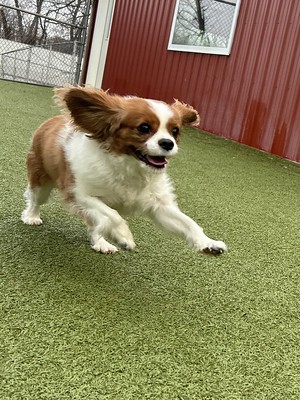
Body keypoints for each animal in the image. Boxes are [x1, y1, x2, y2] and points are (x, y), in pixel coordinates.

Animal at [21, 88, 227, 256]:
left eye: (175, 131)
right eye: (144, 128)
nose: (168, 143)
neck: (131, 167)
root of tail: (53, 120)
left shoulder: (160, 207)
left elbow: (189, 222)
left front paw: (208, 243)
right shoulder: (80, 195)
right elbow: (113, 215)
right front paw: (123, 235)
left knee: (95, 225)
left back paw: (101, 243)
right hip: (41, 182)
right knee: (35, 199)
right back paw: (32, 217)